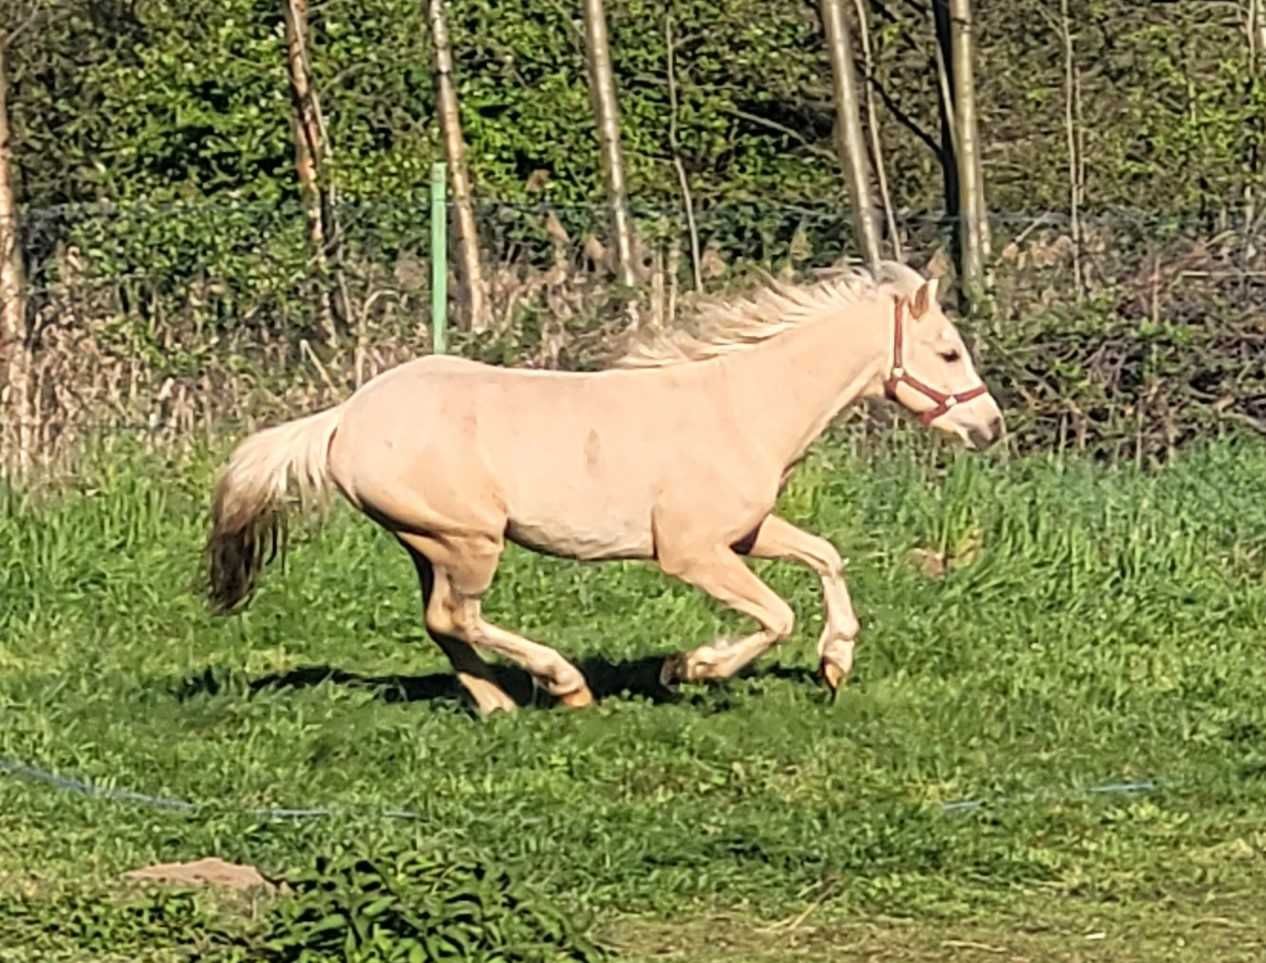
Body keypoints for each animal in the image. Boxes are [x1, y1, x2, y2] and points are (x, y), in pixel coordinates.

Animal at [205, 263, 997, 713]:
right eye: (948, 352)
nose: (990, 427)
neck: (741, 406)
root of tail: (343, 417)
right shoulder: (692, 552)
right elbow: (776, 616)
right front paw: (690, 668)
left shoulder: (745, 535)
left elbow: (827, 557)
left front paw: (835, 666)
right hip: (468, 541)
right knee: (458, 617)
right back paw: (566, 687)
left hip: (426, 544)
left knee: (442, 623)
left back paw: (499, 704)